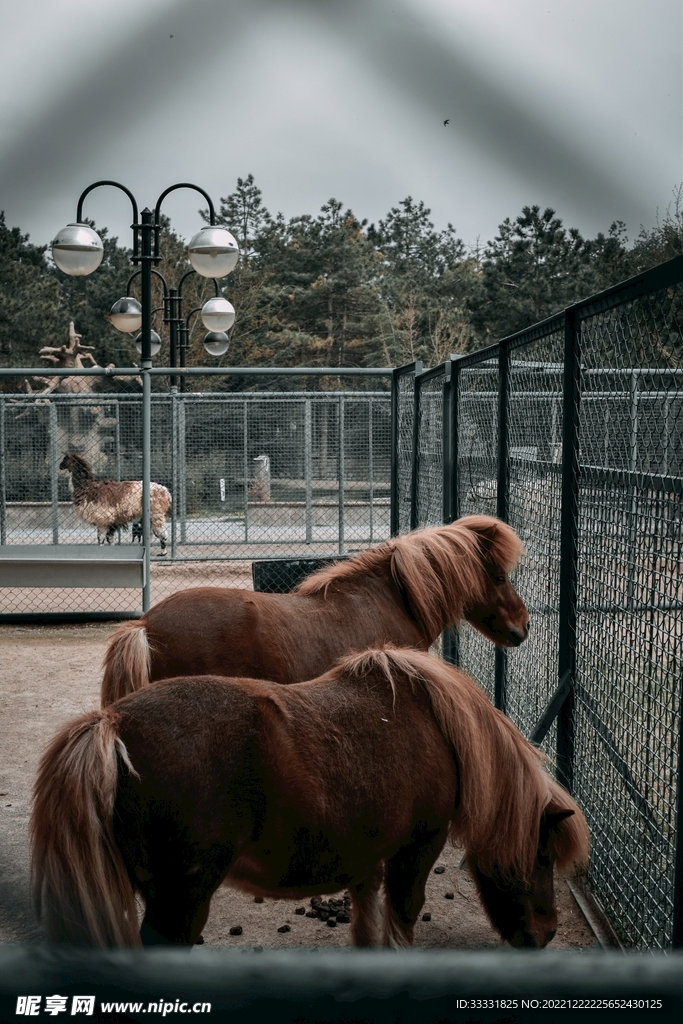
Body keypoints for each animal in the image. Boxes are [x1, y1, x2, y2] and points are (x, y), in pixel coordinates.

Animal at [32, 647, 589, 950]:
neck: (436, 725)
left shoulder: (367, 858)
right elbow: (402, 916)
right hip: (180, 903)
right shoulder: (418, 849)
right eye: (541, 857)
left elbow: (367, 923)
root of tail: (112, 724)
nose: (546, 933)